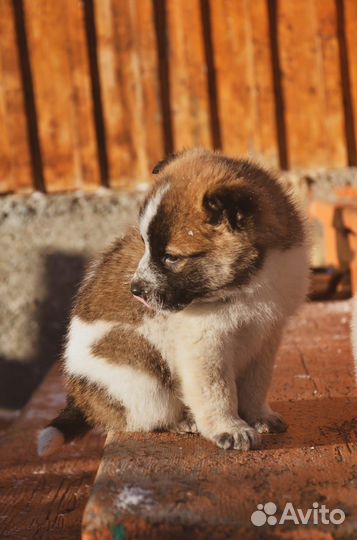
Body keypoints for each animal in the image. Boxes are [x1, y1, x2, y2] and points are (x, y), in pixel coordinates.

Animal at [36, 148, 308, 456]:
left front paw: (259, 417)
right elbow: (217, 390)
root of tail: (80, 399)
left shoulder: (266, 335)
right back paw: (182, 422)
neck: (247, 284)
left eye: (171, 257)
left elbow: (256, 384)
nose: (135, 290)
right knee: (142, 418)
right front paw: (229, 428)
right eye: (145, 244)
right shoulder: (205, 345)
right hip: (144, 380)